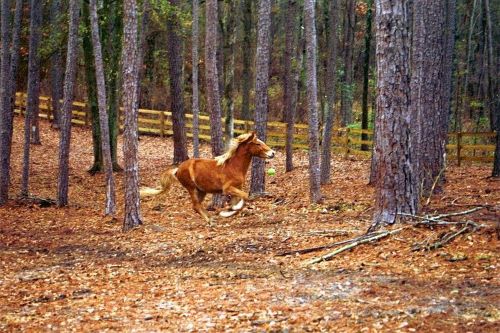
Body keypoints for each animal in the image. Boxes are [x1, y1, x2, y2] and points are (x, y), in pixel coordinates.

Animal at [139, 132, 276, 223]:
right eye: (257, 143)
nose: (272, 153)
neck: (233, 166)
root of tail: (177, 169)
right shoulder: (227, 188)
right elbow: (246, 197)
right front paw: (226, 212)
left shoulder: (237, 188)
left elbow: (240, 202)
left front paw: (229, 211)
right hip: (191, 188)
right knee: (196, 206)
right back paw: (209, 221)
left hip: (201, 190)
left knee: (196, 206)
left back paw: (211, 218)